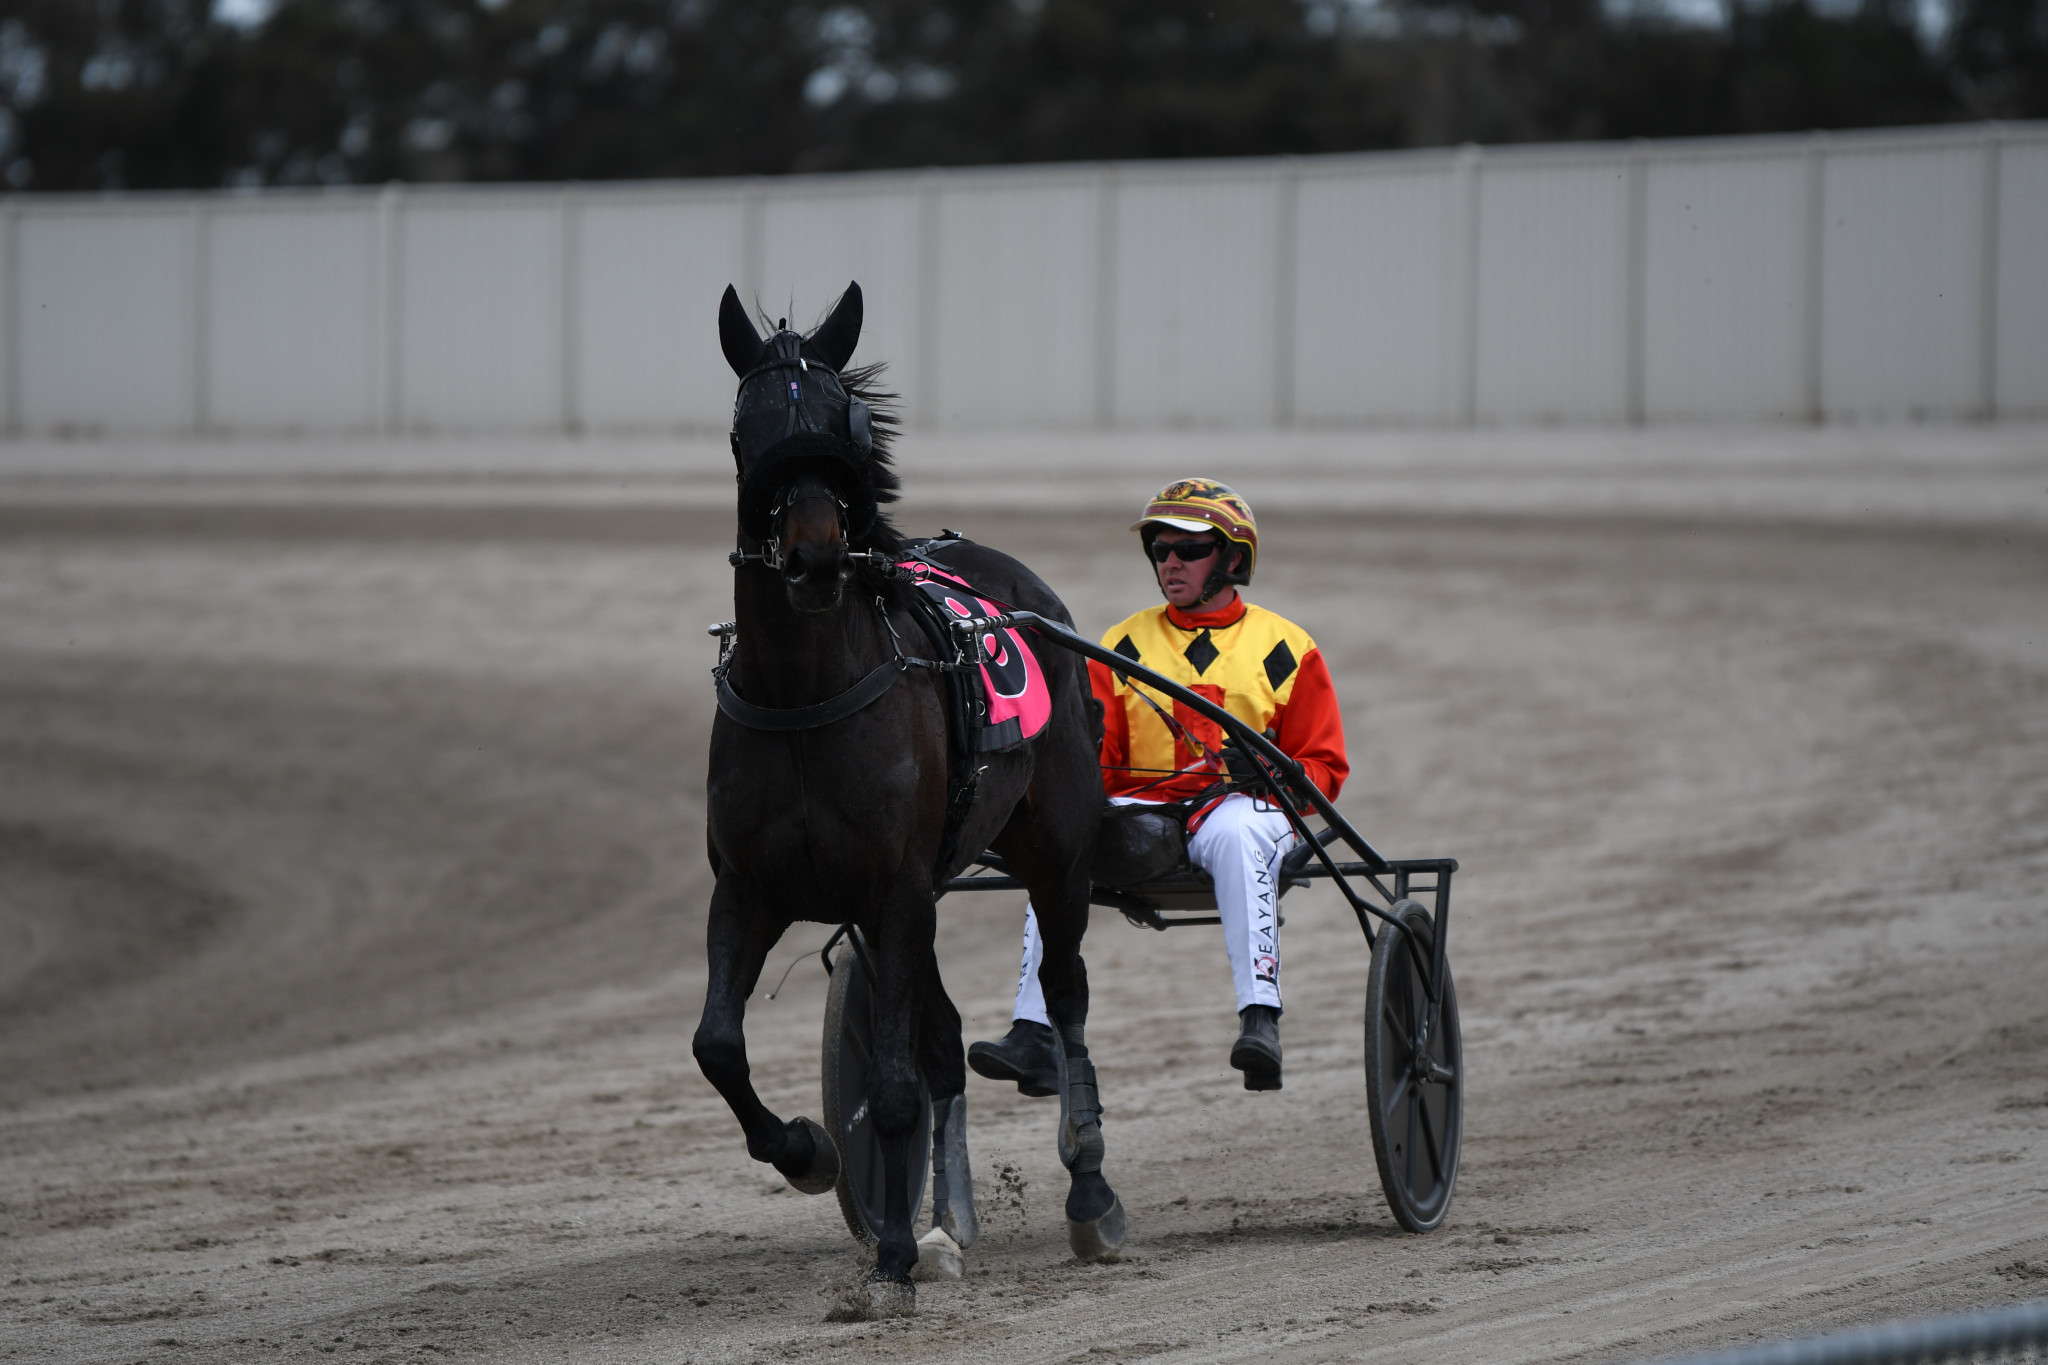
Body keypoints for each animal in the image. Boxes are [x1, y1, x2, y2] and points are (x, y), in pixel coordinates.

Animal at [696, 278, 1130, 1309]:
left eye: (843, 428)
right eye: (748, 428)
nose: (814, 556)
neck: (806, 694)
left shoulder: (890, 893)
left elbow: (891, 1085)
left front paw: (890, 1257)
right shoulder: (752, 887)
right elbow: (719, 1044)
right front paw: (811, 1152)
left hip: (1057, 852)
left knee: (1066, 993)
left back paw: (1089, 1192)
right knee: (941, 1040)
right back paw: (947, 1217)